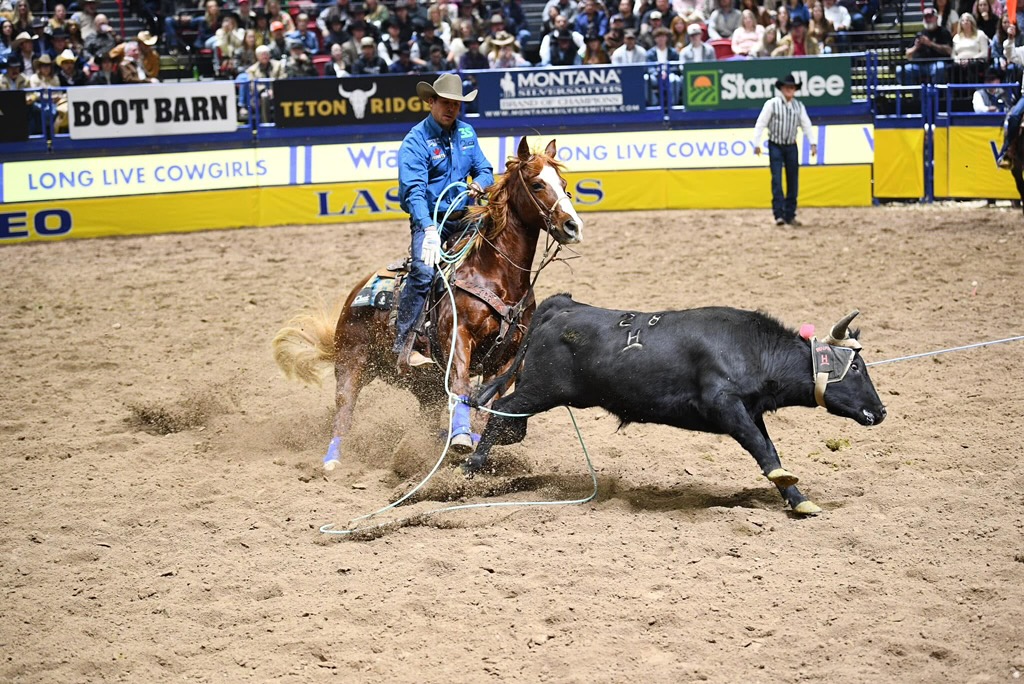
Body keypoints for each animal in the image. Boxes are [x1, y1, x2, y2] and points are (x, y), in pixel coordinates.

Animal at [273, 137, 583, 470]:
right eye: (537, 184)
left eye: (563, 183)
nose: (573, 226)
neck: (496, 277)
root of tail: (354, 296)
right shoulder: (457, 338)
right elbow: (460, 383)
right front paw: (461, 439)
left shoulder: (504, 358)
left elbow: (486, 405)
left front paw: (474, 442)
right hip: (351, 361)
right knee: (345, 408)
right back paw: (332, 460)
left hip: (425, 387)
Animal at [468, 293, 887, 515]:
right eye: (857, 367)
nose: (881, 411)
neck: (754, 349)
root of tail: (564, 306)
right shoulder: (724, 405)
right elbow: (762, 451)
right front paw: (793, 490)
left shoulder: (750, 411)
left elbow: (768, 448)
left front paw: (798, 499)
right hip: (540, 389)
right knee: (502, 414)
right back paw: (471, 469)